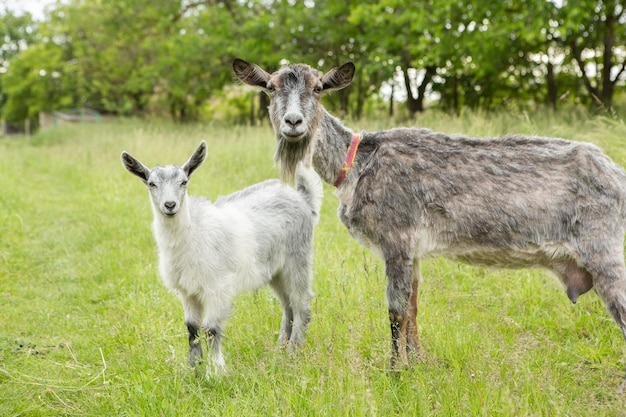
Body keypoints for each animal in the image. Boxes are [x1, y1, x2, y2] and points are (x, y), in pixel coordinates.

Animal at [120, 141, 322, 372]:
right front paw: (194, 369)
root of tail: (303, 199)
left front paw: (216, 371)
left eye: (184, 182)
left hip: (298, 259)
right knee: (288, 307)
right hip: (275, 271)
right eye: (151, 184)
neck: (194, 233)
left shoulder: (216, 287)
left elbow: (211, 329)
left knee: (301, 306)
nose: (170, 205)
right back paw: (278, 351)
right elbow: (192, 329)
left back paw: (292, 354)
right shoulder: (187, 291)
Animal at [233, 57, 624, 380]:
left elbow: (395, 310)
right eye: (271, 88)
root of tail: (617, 174)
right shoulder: (414, 251)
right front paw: (419, 361)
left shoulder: (396, 238)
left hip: (603, 249)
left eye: (318, 88)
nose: (293, 122)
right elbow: (413, 306)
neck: (359, 163)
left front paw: (394, 372)